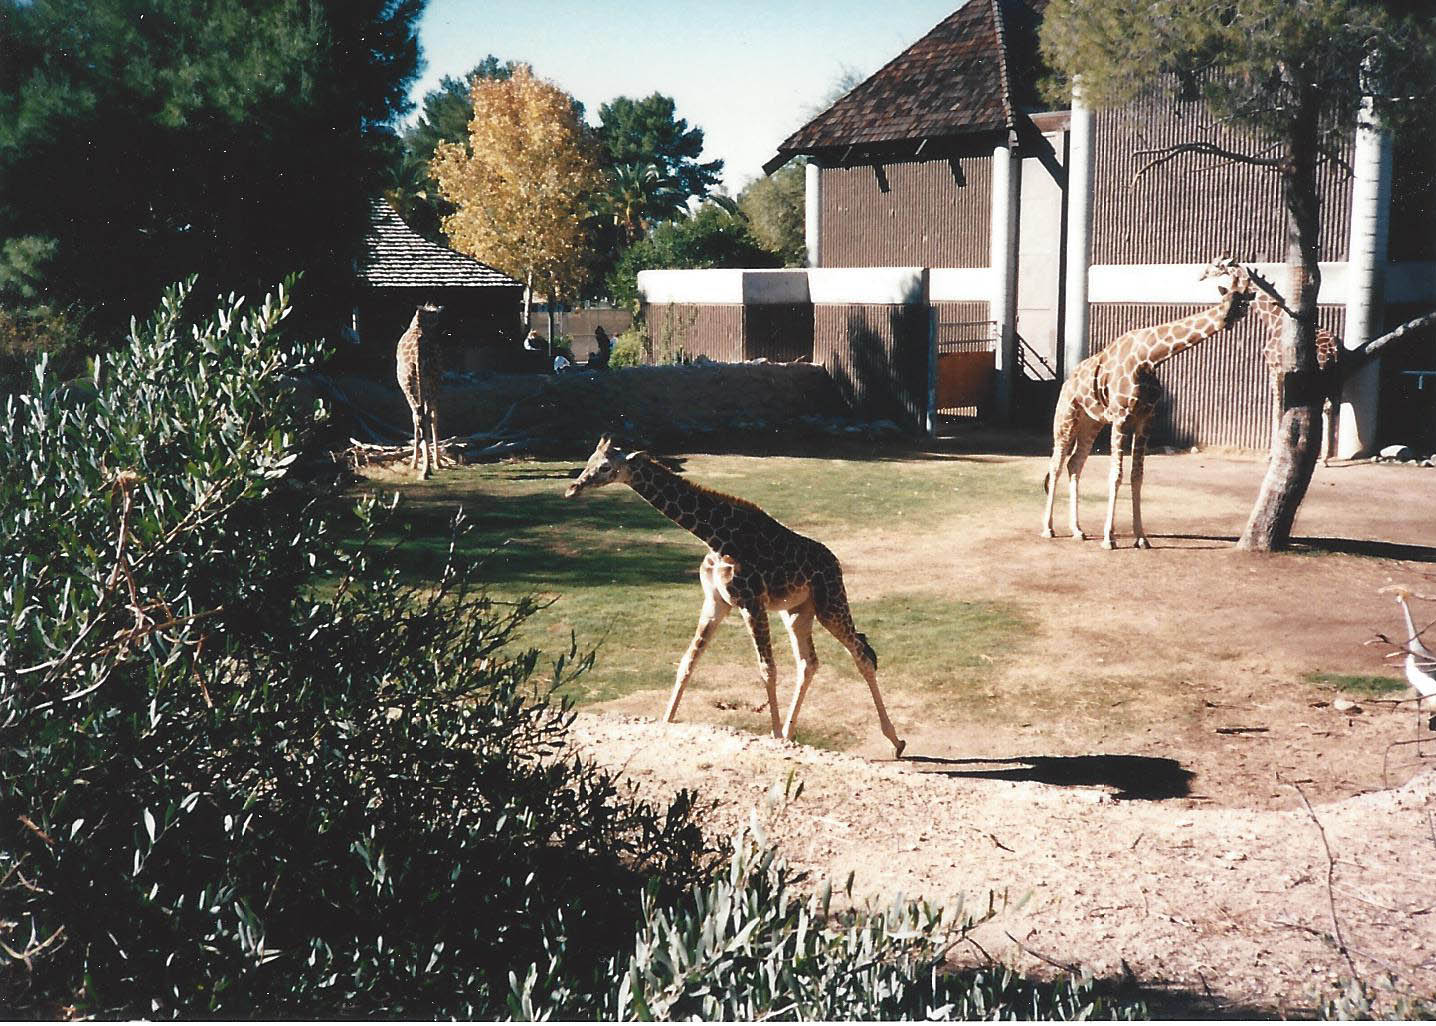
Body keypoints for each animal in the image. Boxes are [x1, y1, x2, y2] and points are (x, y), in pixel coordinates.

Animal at [396, 304, 444, 480]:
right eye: (436, 319)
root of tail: (418, 354)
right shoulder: (437, 386)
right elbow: (434, 417)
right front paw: (436, 462)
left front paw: (417, 463)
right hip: (428, 385)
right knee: (424, 416)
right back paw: (427, 468)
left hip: (410, 385)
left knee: (419, 416)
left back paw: (424, 469)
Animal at [565, 436, 906, 758]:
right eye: (589, 460)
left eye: (605, 467)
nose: (572, 488)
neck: (716, 536)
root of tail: (834, 562)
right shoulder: (715, 603)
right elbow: (688, 661)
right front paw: (666, 719)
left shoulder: (751, 602)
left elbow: (767, 669)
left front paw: (774, 736)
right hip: (797, 611)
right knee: (809, 662)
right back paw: (792, 732)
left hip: (830, 603)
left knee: (862, 655)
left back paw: (895, 740)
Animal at [1041, 257, 1256, 549]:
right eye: (1224, 300)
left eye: (1242, 303)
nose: (1226, 319)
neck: (1149, 357)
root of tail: (1067, 381)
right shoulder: (1121, 417)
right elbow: (1116, 475)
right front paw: (1109, 538)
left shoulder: (1145, 420)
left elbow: (1137, 476)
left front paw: (1141, 537)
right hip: (1066, 418)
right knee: (1056, 464)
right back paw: (1048, 528)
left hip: (1091, 422)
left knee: (1075, 464)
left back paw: (1078, 530)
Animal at [1247, 272, 1342, 465]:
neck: (1274, 320)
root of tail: (1333, 349)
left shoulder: (1275, 369)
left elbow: (1278, 407)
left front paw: (1271, 454)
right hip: (1336, 378)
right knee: (1331, 407)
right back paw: (1324, 456)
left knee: (1322, 408)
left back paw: (1321, 457)